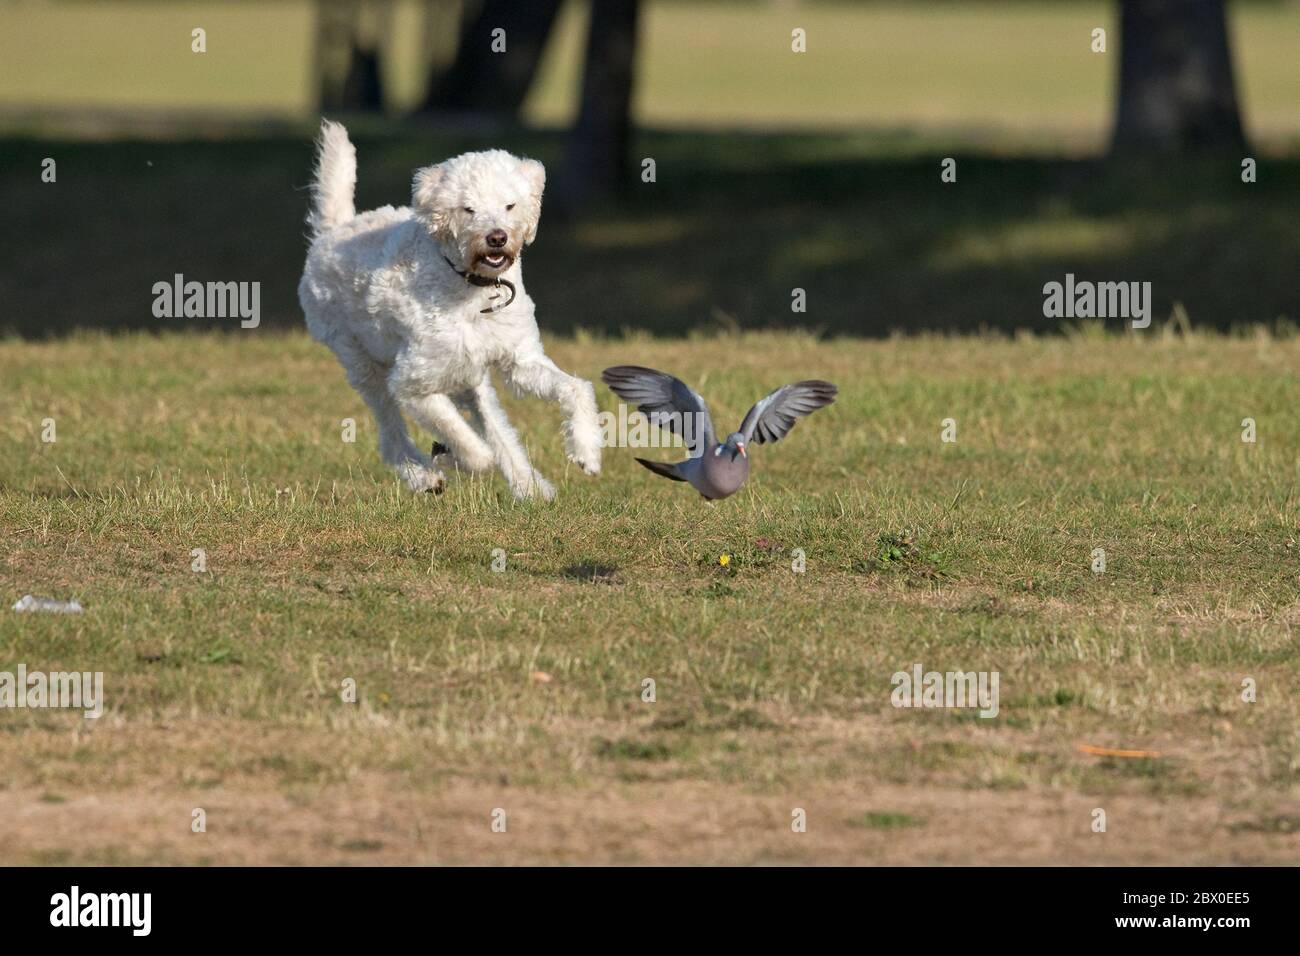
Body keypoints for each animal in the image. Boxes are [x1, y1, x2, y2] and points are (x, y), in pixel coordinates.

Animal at [297, 119, 600, 502]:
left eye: (509, 205)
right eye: (468, 209)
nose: (497, 237)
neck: (472, 286)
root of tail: (333, 231)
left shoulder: (520, 360)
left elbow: (576, 388)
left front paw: (587, 450)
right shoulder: (411, 382)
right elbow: (466, 442)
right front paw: (454, 456)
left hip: (470, 378)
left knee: (497, 427)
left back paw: (530, 487)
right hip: (362, 363)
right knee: (392, 435)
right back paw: (425, 475)